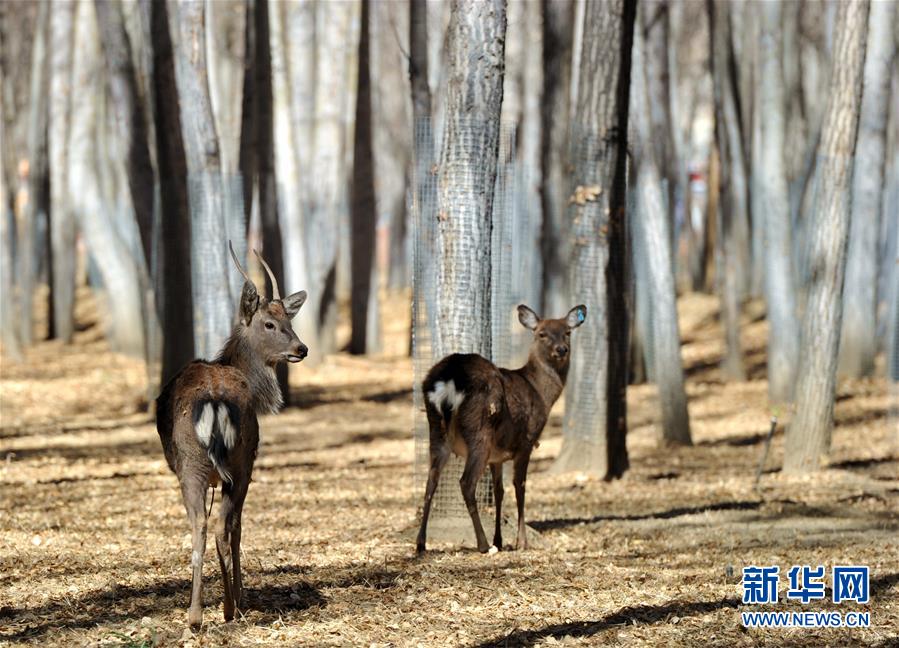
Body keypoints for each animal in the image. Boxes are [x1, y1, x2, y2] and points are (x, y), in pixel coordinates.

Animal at [156, 240, 308, 624]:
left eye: (290, 320)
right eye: (269, 323)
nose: (301, 348)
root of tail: (214, 400)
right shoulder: (247, 464)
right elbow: (238, 527)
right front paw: (239, 596)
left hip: (192, 465)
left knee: (201, 525)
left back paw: (197, 614)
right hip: (237, 462)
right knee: (225, 526)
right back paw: (227, 607)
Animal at [416, 304, 588, 552]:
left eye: (567, 332)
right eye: (542, 334)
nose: (561, 349)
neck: (540, 393)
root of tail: (449, 379)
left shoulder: (497, 455)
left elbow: (499, 491)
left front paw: (500, 538)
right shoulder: (527, 441)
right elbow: (520, 486)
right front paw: (521, 542)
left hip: (436, 428)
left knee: (430, 481)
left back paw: (421, 543)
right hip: (480, 430)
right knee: (466, 482)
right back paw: (483, 544)